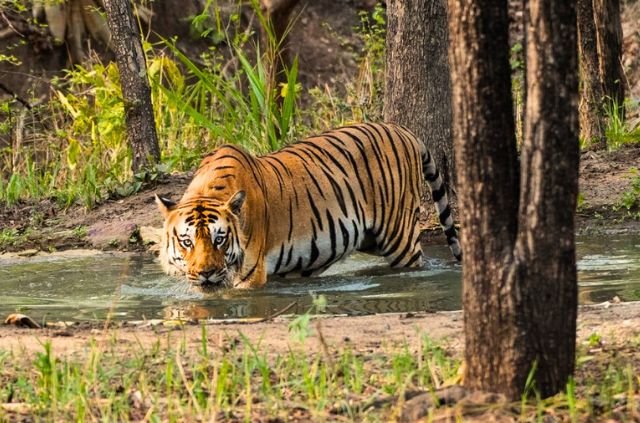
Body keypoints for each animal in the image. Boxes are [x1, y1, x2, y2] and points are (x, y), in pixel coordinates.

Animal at [155, 122, 462, 289]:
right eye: (186, 241)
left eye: (219, 239)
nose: (206, 274)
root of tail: (403, 130)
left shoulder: (250, 275)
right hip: (369, 238)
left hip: (398, 237)